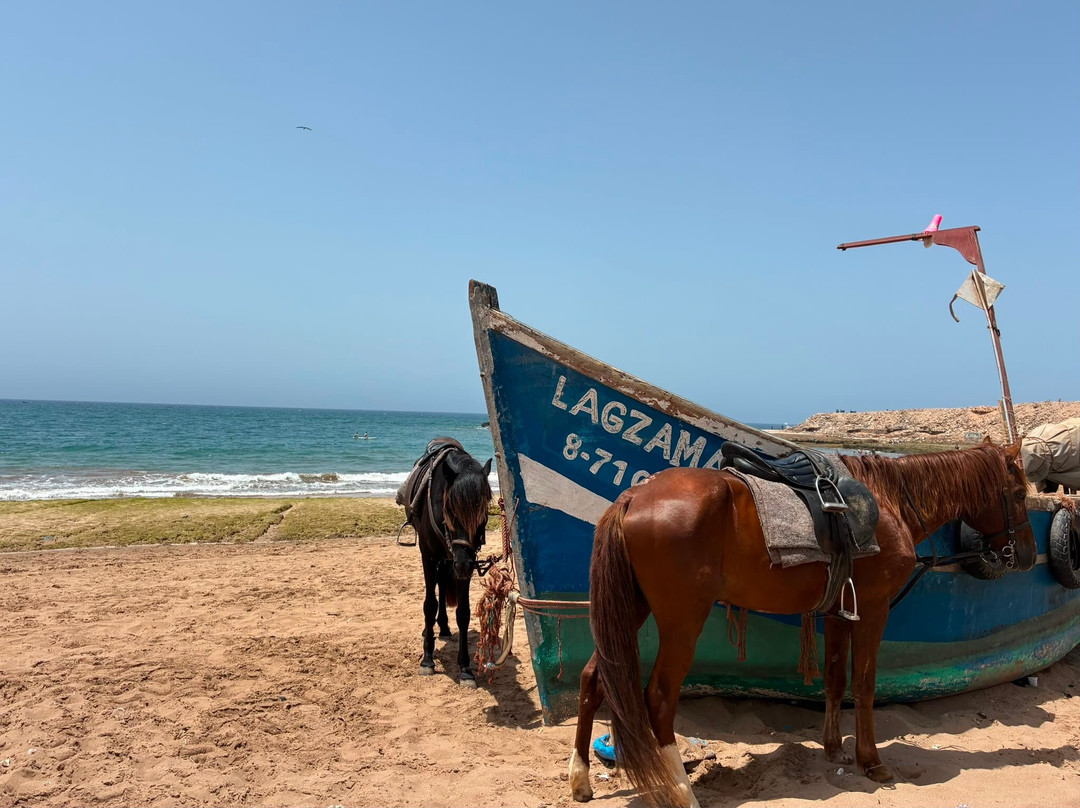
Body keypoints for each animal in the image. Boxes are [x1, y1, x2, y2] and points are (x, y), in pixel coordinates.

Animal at [400, 437, 493, 687]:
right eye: (450, 508)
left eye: (484, 512)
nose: (463, 565)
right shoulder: (429, 556)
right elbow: (429, 604)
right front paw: (427, 660)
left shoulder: (466, 562)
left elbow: (463, 612)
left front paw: (465, 669)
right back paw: (430, 630)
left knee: (442, 584)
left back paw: (442, 626)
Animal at [569, 441, 1035, 807]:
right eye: (1017, 494)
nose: (1029, 555)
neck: (888, 504)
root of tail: (633, 496)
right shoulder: (874, 609)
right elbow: (864, 683)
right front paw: (872, 761)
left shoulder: (840, 611)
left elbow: (834, 678)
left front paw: (834, 750)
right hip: (682, 621)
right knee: (660, 698)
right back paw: (682, 792)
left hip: (631, 609)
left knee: (593, 678)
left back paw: (580, 779)